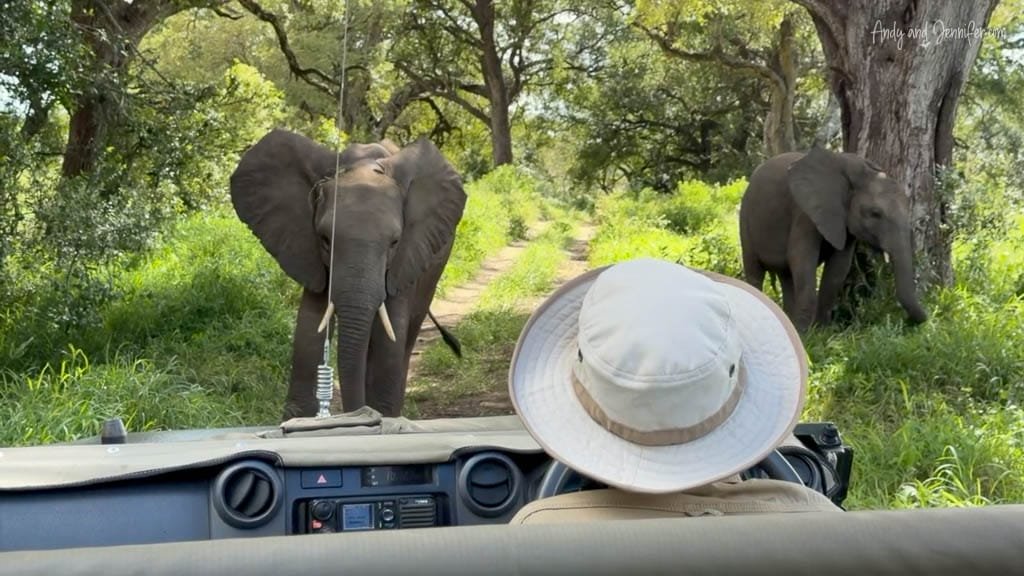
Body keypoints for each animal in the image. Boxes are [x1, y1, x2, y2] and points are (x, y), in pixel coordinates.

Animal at [738, 146, 928, 332]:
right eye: (875, 213)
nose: (910, 322)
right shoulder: (804, 213)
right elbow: (801, 259)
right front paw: (804, 334)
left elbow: (838, 269)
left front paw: (820, 331)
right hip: (745, 219)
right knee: (754, 272)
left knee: (786, 277)